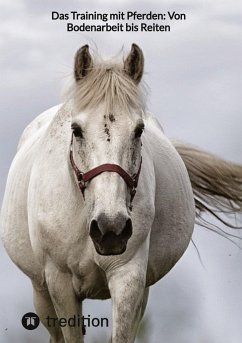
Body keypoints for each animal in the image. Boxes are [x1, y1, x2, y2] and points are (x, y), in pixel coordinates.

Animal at [0, 44, 241, 342]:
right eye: (76, 130)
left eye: (139, 130)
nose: (110, 228)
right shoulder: (59, 282)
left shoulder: (129, 277)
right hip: (41, 291)